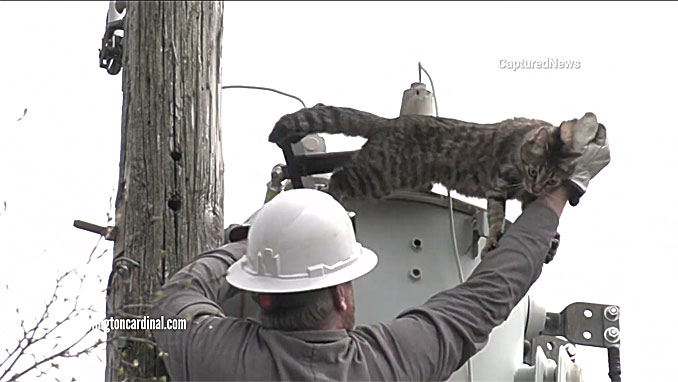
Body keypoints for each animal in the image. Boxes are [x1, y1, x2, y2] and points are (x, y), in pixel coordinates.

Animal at [270, 103, 584, 256]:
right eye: (533, 172)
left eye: (551, 181)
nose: (535, 186)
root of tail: (390, 122)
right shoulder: (498, 183)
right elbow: (496, 216)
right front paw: (495, 237)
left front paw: (553, 241)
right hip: (379, 173)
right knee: (338, 177)